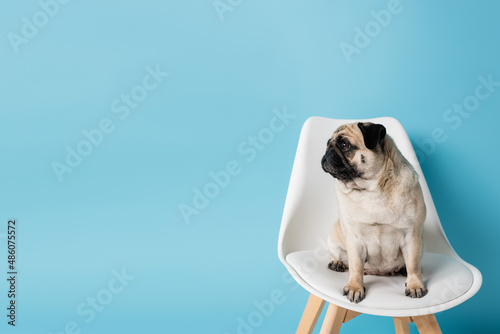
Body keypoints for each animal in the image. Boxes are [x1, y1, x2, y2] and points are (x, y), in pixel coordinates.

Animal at [320, 122, 426, 302]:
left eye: (344, 145)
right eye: (328, 143)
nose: (328, 151)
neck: (371, 190)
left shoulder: (411, 235)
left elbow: (413, 264)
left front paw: (415, 285)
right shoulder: (354, 239)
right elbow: (355, 266)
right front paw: (355, 288)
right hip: (333, 241)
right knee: (340, 258)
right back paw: (337, 263)